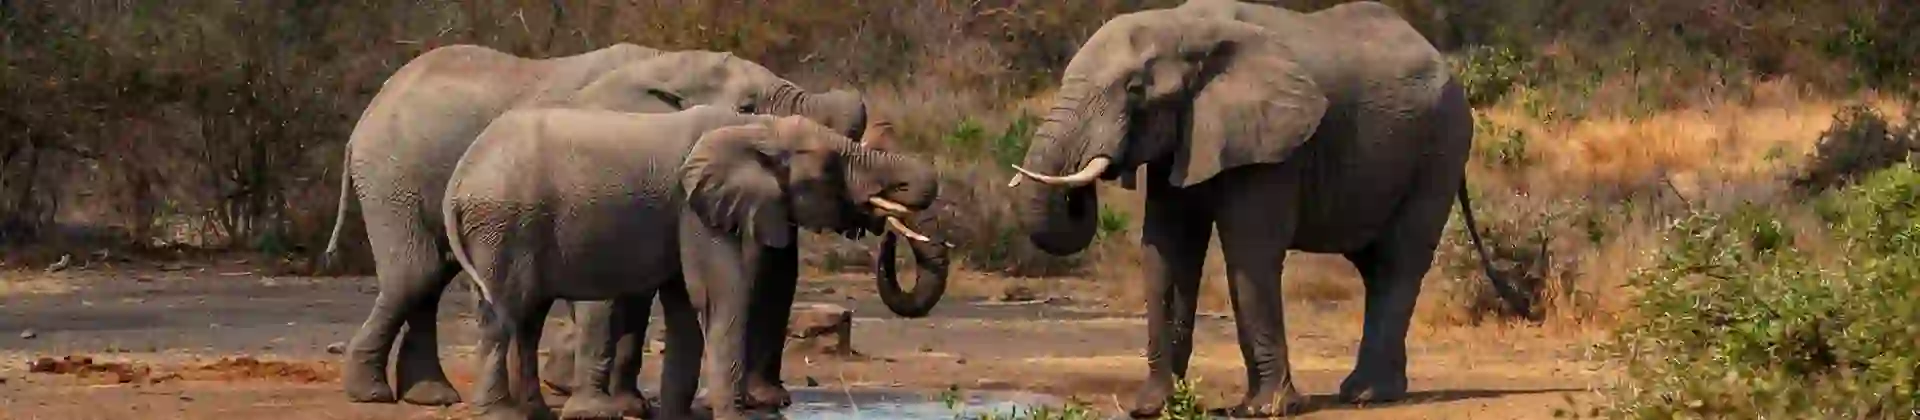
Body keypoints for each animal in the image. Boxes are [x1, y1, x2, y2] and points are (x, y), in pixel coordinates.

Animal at [321, 42, 872, 407]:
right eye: (747, 107)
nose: (774, 400)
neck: (664, 61)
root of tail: (367, 114)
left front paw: (622, 404)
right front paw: (593, 401)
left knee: (431, 277)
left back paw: (430, 398)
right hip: (393, 175)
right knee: (416, 275)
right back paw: (375, 395)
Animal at [443, 105, 948, 419]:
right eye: (830, 168)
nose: (886, 221)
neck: (754, 128)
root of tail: (460, 176)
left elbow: (687, 305)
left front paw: (679, 414)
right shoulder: (694, 206)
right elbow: (720, 292)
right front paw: (733, 416)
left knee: (527, 318)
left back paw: (535, 412)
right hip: (502, 224)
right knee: (503, 314)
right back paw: (500, 413)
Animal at [1001, 1, 1534, 417]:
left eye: (1135, 89)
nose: (1086, 184)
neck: (1183, 25)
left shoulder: (1271, 144)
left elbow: (1249, 252)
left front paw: (1267, 410)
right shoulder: (1189, 135)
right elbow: (1167, 250)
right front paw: (1151, 408)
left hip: (1442, 146)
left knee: (1398, 262)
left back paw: (1367, 396)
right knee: (1374, 266)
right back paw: (1372, 392)